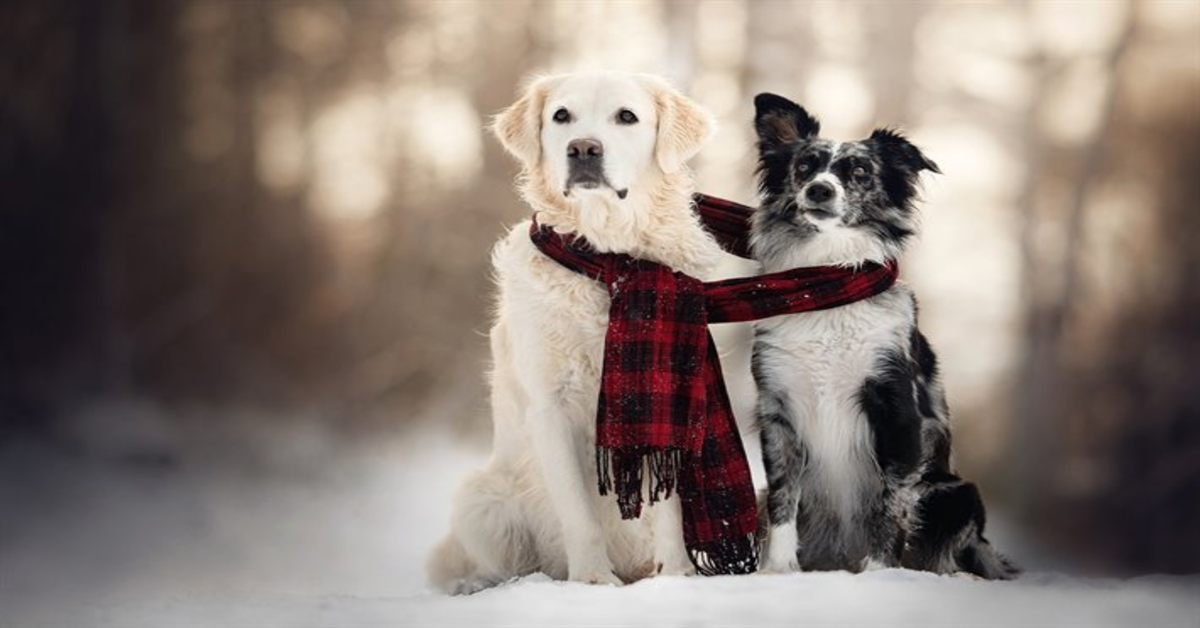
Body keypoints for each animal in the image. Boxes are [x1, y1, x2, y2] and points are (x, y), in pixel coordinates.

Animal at [427, 73, 715, 595]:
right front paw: (594, 579)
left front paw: (676, 575)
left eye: (627, 116)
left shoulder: (669, 402)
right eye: (561, 116)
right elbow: (579, 513)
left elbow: (669, 507)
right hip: (481, 498)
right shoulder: (550, 407)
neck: (608, 262)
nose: (583, 148)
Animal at [748, 93, 1012, 581]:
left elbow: (889, 502)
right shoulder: (777, 409)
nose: (820, 190)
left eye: (859, 171)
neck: (827, 282)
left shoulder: (895, 406)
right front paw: (777, 570)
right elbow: (782, 498)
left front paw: (877, 572)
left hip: (957, 493)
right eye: (805, 166)